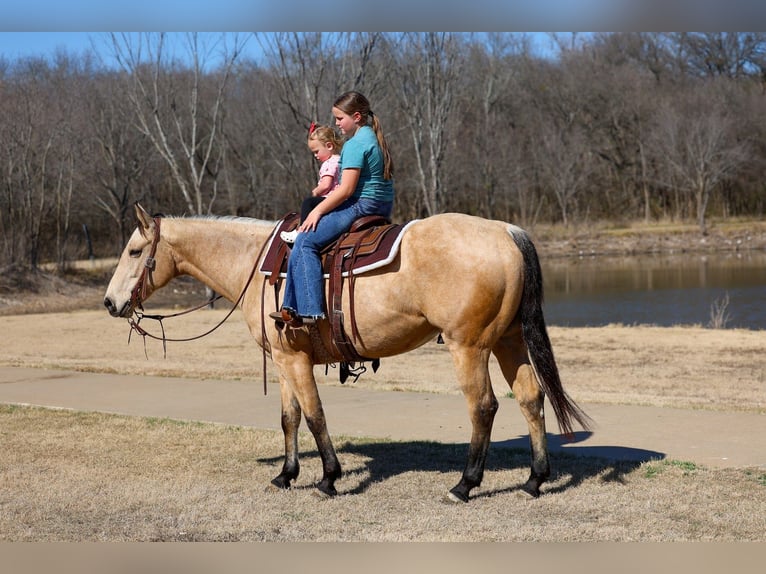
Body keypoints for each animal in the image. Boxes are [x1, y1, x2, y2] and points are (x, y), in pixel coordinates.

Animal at [104, 203, 591, 503]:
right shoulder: (282, 360)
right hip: (509, 340)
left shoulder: (295, 360)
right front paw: (286, 475)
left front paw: (328, 477)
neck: (257, 265)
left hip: (468, 346)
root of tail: (506, 232)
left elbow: (315, 415)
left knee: (484, 406)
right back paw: (534, 479)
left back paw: (465, 485)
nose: (110, 302)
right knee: (530, 398)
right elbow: (290, 417)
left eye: (134, 250)